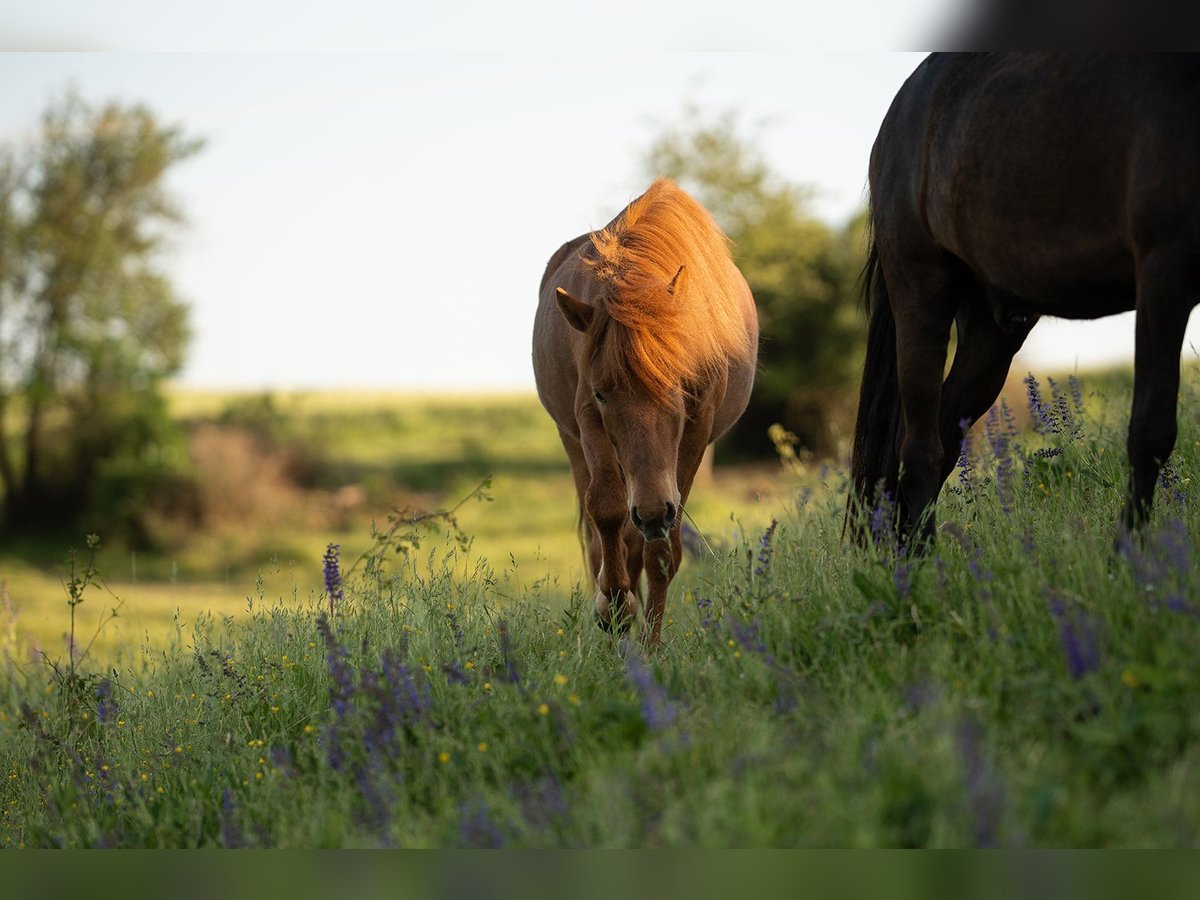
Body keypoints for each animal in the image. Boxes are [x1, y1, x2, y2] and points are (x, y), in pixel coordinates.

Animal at [533, 178, 759, 644]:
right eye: (602, 395)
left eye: (677, 387)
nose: (653, 512)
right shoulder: (587, 417)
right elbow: (605, 509)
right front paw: (614, 604)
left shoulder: (695, 430)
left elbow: (661, 554)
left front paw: (651, 647)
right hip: (576, 444)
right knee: (602, 536)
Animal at [849, 53, 1200, 546]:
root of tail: (897, 116)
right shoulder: (1164, 273)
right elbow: (1151, 432)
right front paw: (1127, 557)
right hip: (921, 297)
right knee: (918, 449)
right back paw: (920, 564)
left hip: (990, 330)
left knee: (943, 437)